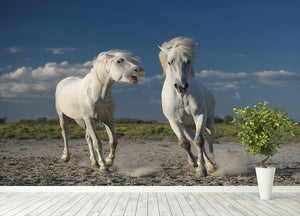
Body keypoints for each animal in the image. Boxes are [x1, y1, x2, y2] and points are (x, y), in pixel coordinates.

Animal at [159, 36, 216, 176]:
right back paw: (207, 164)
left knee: (209, 139)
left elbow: (200, 141)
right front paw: (194, 163)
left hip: (209, 121)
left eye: (188, 61)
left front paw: (201, 170)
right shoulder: (174, 122)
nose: (181, 86)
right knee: (193, 141)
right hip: (188, 127)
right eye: (169, 62)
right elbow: (185, 143)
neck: (181, 97)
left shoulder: (199, 115)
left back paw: (212, 162)